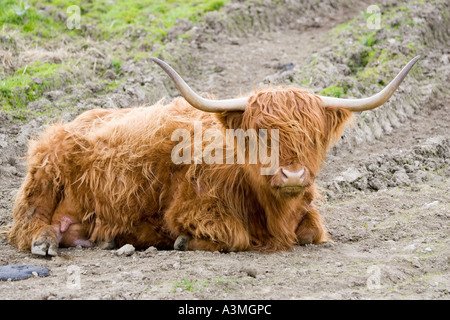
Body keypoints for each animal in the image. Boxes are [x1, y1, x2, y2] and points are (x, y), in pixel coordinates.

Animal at [7, 55, 420, 255]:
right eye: (259, 133)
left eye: (313, 136)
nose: (293, 176)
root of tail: (73, 120)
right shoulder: (189, 209)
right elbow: (234, 237)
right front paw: (183, 242)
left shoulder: (305, 216)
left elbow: (312, 232)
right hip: (45, 174)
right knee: (26, 224)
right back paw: (45, 242)